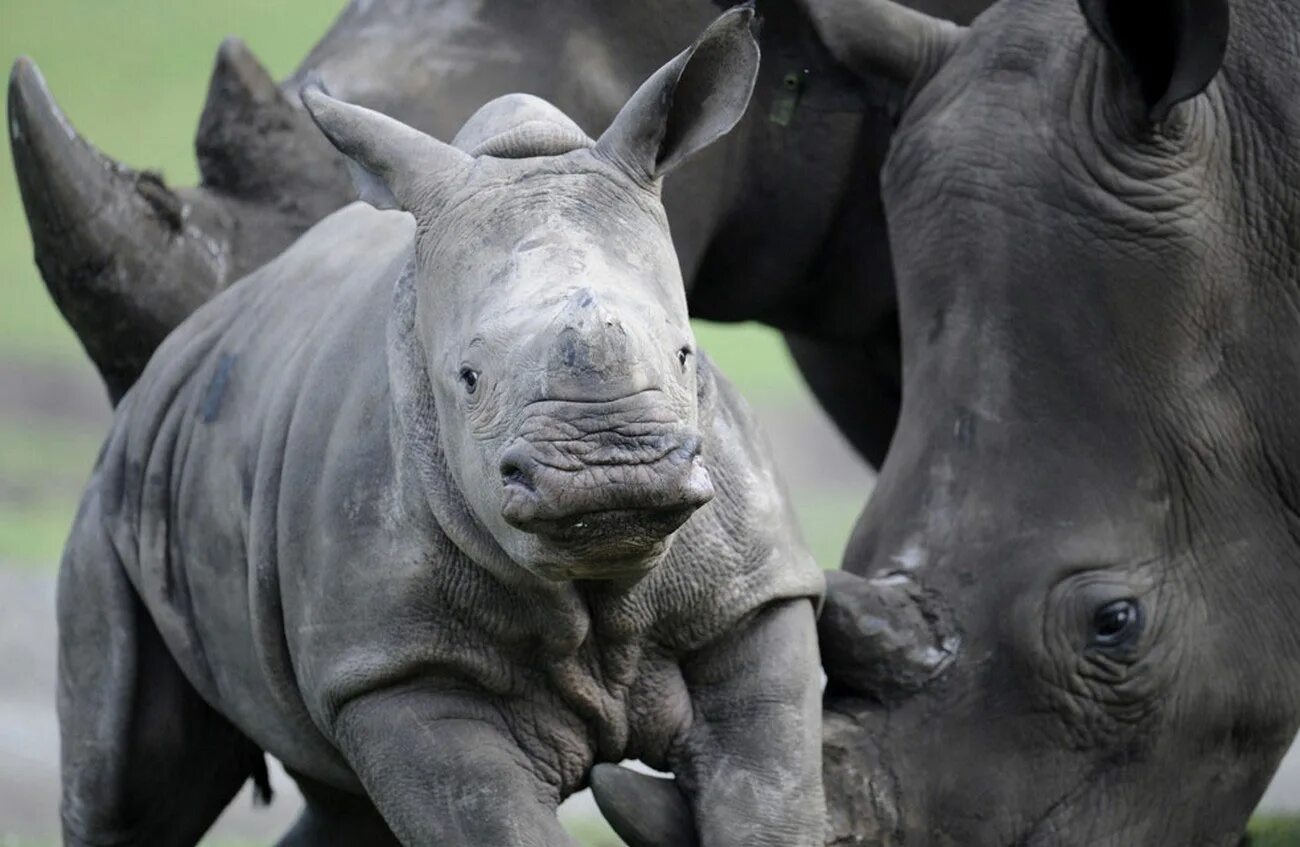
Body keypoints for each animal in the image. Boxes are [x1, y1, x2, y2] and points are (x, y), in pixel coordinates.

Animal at [55, 8, 821, 847]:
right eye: (469, 378)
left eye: (686, 355)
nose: (612, 472)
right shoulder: (395, 666)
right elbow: (481, 812)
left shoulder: (753, 598)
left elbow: (770, 796)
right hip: (120, 486)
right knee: (132, 783)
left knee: (338, 804)